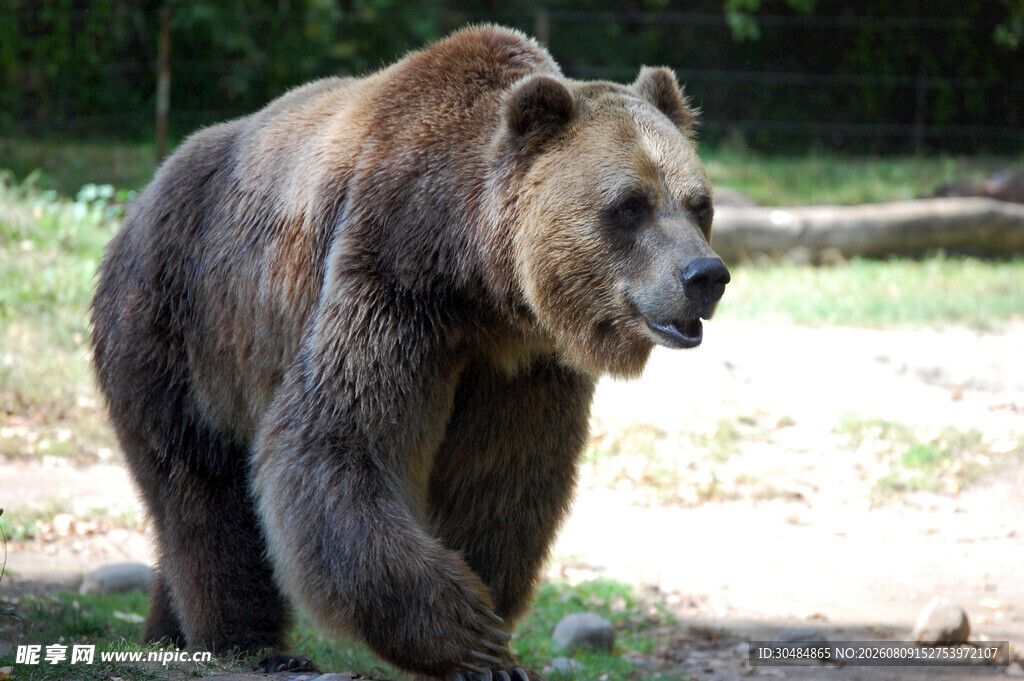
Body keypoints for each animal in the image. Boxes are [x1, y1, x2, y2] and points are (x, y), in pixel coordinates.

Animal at [90, 24, 729, 681]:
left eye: (697, 203)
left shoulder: (521, 366)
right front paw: (469, 637)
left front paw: (492, 627)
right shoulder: (392, 287)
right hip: (179, 326)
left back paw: (165, 633)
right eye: (629, 205)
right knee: (201, 487)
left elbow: (502, 478)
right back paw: (248, 644)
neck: (478, 283)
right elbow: (339, 444)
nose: (704, 275)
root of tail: (142, 198)